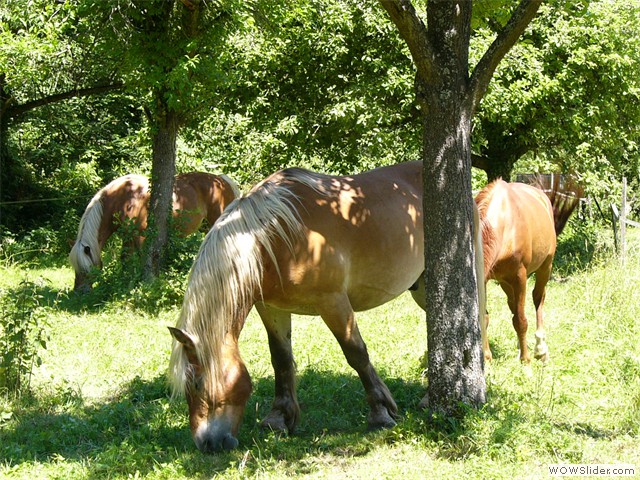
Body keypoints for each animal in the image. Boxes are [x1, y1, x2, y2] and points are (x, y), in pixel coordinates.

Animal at [69, 172, 241, 292]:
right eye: (75, 268)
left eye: (87, 268)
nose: (79, 291)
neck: (122, 197)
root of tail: (221, 180)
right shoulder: (127, 236)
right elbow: (125, 259)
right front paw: (125, 281)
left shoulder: (140, 235)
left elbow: (143, 258)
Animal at [168, 162, 488, 454]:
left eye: (197, 384)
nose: (207, 443)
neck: (279, 234)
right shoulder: (272, 308)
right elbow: (281, 359)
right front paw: (279, 418)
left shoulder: (333, 302)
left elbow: (356, 354)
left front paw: (381, 413)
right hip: (421, 286)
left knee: (478, 320)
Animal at [478, 180, 584, 364]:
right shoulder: (485, 279)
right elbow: (485, 317)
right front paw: (487, 357)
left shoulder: (519, 276)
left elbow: (521, 320)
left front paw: (525, 360)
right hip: (505, 281)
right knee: (513, 304)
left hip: (545, 267)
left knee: (538, 298)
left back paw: (540, 349)